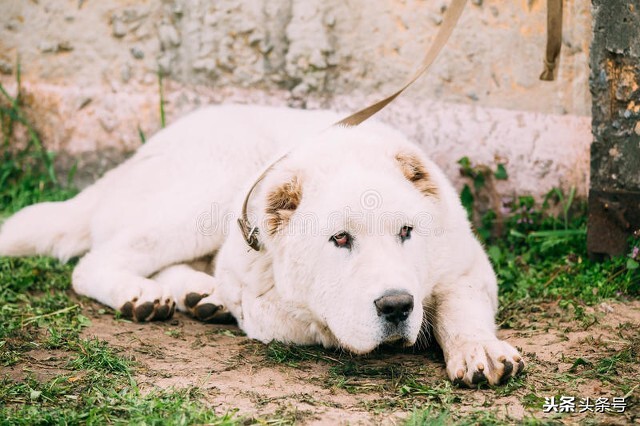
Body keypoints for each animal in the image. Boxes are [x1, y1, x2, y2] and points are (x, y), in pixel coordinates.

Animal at [0, 104, 524, 386]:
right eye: (340, 239)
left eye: (407, 233)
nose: (397, 306)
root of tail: (130, 161)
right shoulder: (267, 300)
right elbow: (312, 318)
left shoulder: (466, 266)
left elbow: (460, 308)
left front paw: (478, 350)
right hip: (207, 192)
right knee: (94, 261)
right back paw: (142, 295)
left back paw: (200, 294)